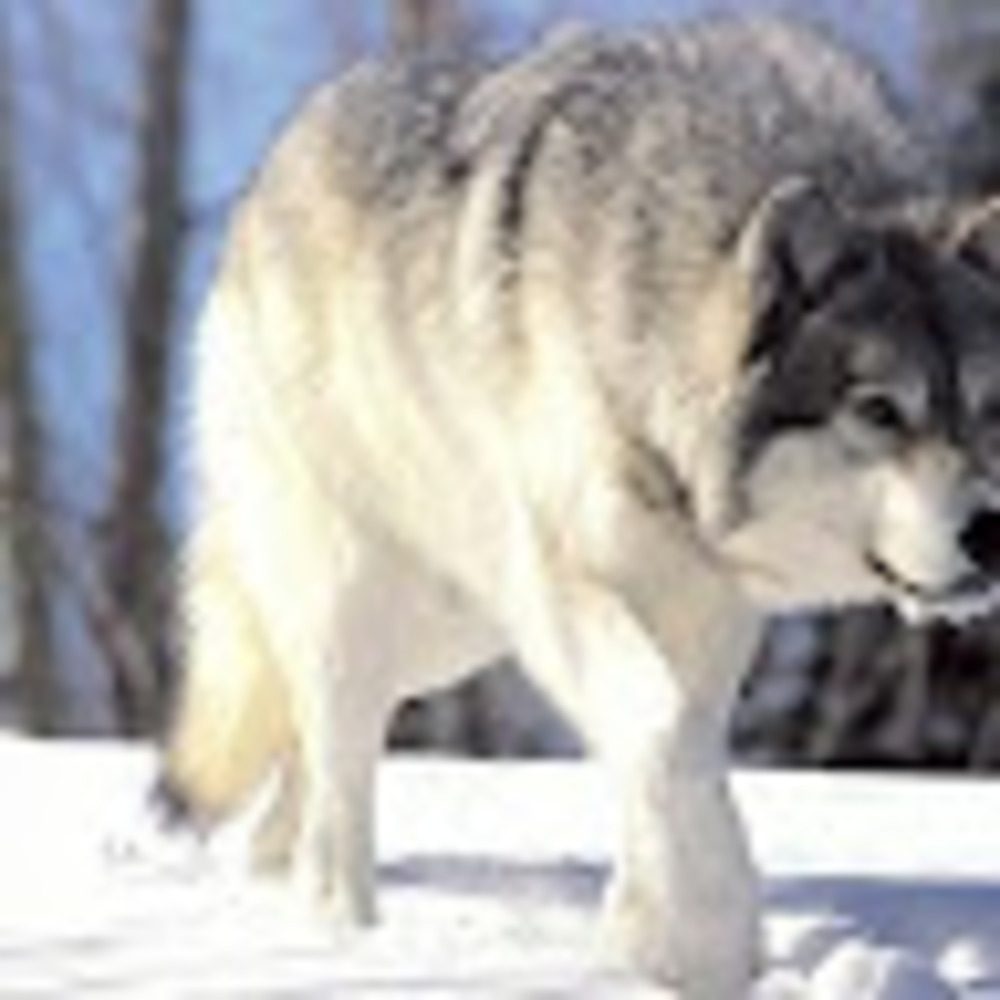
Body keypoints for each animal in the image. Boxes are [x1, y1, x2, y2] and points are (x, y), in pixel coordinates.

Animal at [156, 14, 1000, 998]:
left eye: (989, 409)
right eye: (879, 410)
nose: (994, 530)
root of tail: (272, 167)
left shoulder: (709, 612)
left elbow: (681, 749)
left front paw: (651, 934)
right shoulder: (566, 585)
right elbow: (666, 733)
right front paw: (695, 940)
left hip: (447, 637)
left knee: (298, 780)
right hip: (367, 610)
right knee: (335, 798)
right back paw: (346, 943)